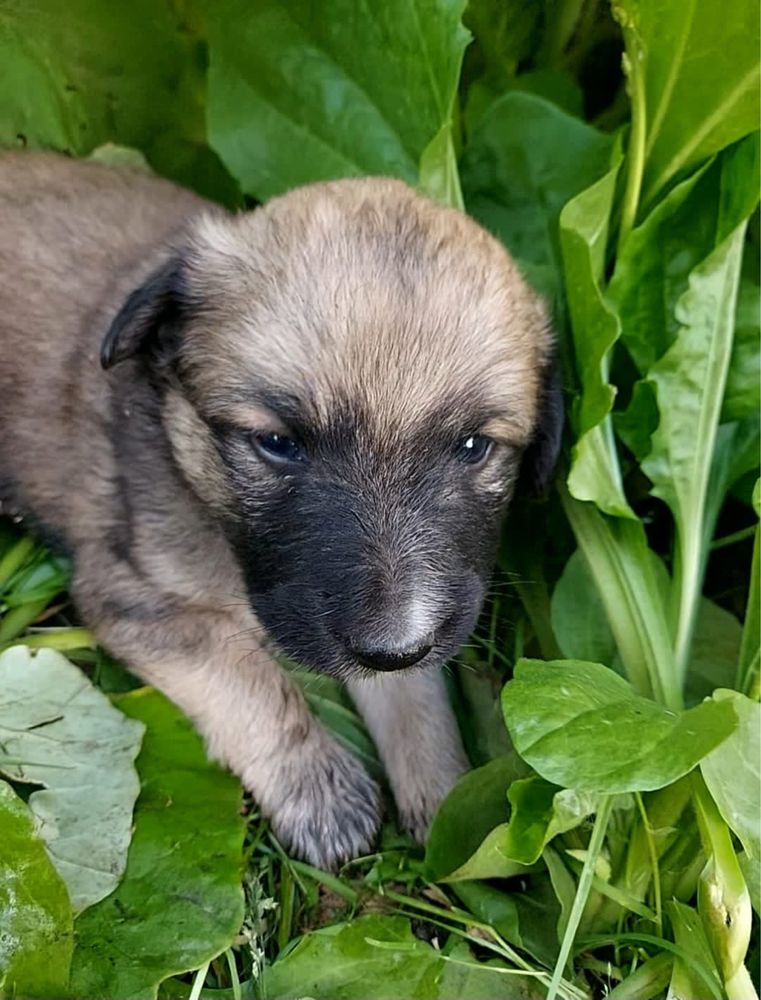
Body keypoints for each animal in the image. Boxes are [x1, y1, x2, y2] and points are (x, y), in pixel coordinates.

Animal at [0, 154, 560, 868]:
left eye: (473, 447)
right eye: (276, 442)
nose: (390, 645)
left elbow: (414, 689)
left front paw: (444, 789)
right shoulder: (141, 598)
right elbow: (253, 683)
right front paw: (320, 791)